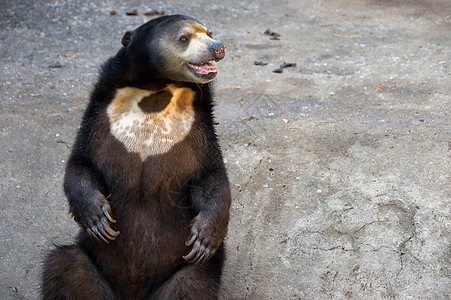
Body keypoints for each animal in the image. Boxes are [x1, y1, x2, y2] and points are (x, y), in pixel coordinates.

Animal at [42, 14, 231, 300]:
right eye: (183, 38)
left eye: (209, 32)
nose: (218, 47)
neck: (156, 91)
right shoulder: (101, 118)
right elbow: (82, 163)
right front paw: (97, 219)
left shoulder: (197, 129)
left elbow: (210, 177)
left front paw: (204, 238)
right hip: (93, 263)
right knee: (66, 267)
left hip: (184, 271)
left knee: (190, 284)